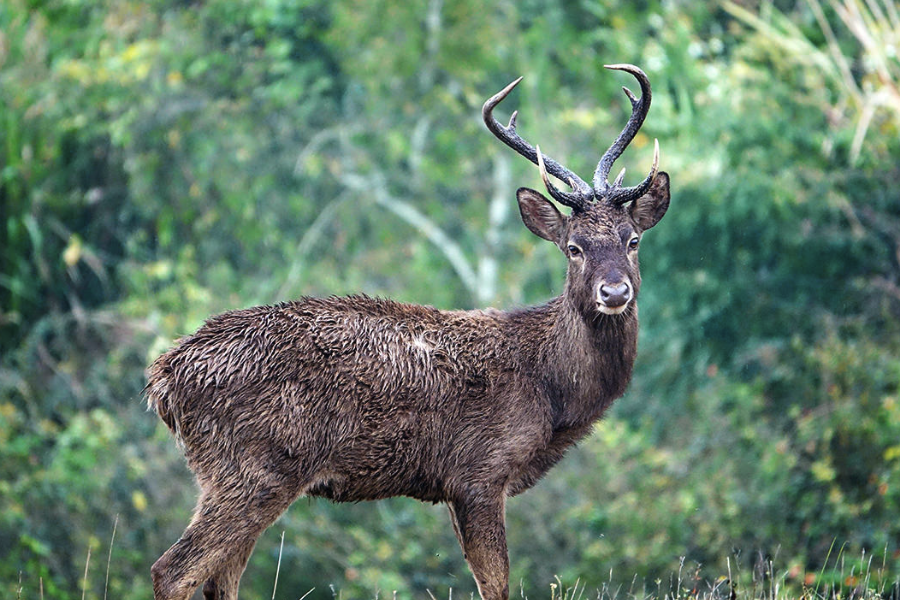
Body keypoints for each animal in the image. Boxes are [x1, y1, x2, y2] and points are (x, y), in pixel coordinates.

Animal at [146, 64, 668, 600]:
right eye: (573, 247)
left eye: (632, 239)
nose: (614, 291)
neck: (550, 389)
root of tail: (163, 379)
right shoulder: (477, 472)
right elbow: (496, 583)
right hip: (255, 466)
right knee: (173, 569)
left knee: (218, 577)